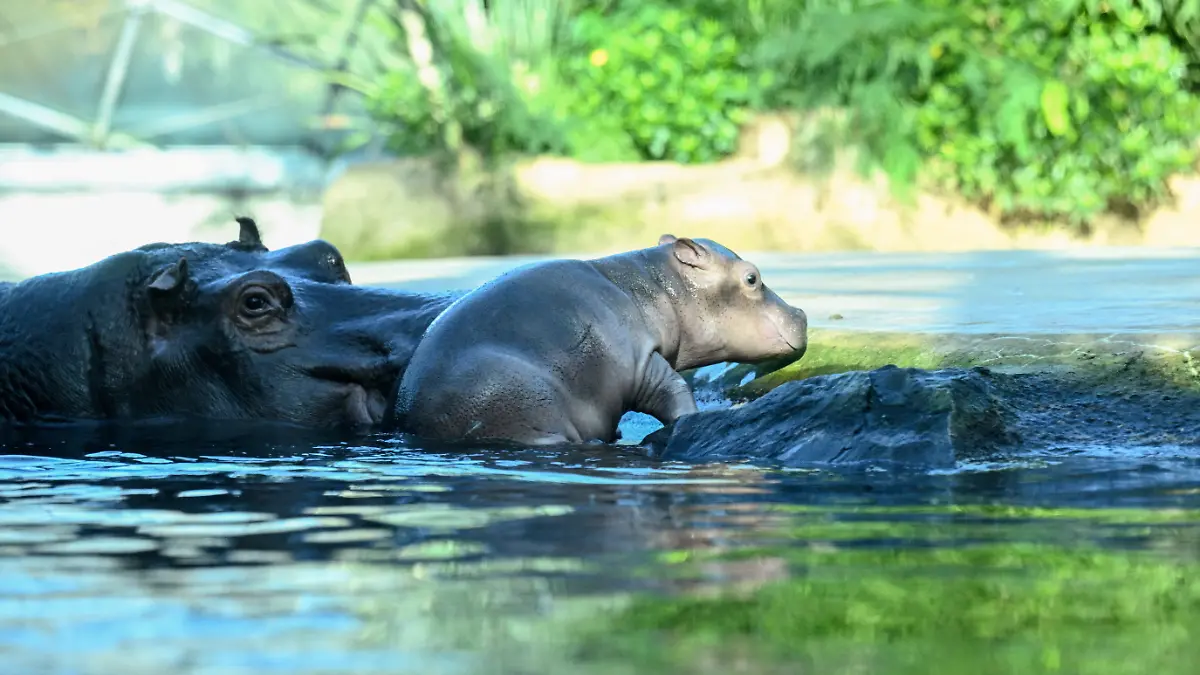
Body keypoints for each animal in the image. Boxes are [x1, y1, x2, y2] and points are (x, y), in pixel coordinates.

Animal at [391, 234, 809, 446]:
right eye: (752, 278)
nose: (802, 314)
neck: (660, 289)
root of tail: (410, 415)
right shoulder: (643, 361)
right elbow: (674, 390)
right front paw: (694, 419)